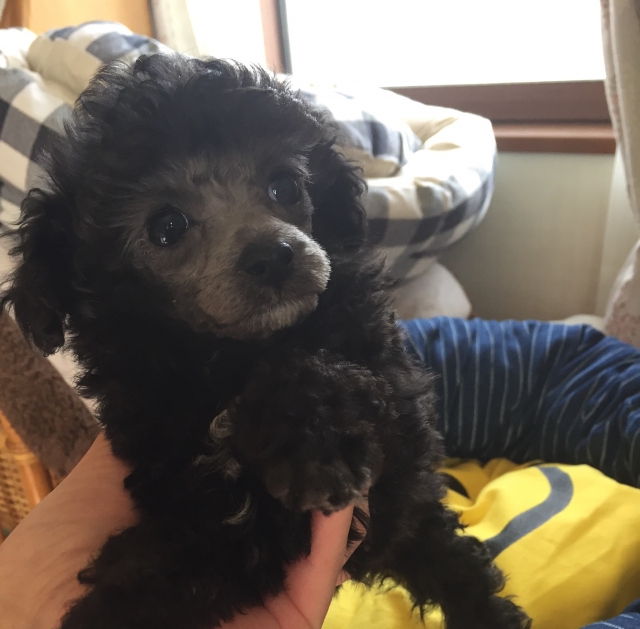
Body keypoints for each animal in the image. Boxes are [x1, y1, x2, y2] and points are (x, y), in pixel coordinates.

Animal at [2, 54, 530, 629]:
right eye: (166, 226)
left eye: (284, 187)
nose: (274, 256)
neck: (228, 355)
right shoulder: (166, 454)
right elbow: (202, 543)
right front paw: (118, 603)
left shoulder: (392, 397)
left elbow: (316, 376)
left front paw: (307, 446)